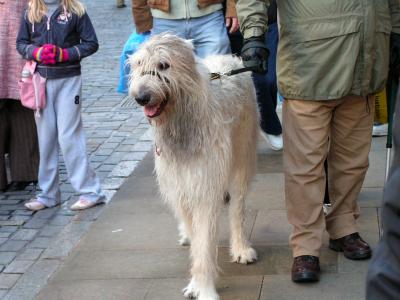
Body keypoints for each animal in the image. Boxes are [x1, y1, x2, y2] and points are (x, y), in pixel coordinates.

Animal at [129, 34, 260, 300]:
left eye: (163, 65)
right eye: (138, 64)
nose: (140, 97)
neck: (181, 121)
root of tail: (230, 58)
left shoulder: (204, 186)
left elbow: (204, 241)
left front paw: (204, 288)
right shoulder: (180, 184)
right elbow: (193, 228)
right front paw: (198, 283)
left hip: (243, 151)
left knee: (238, 205)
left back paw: (241, 247)